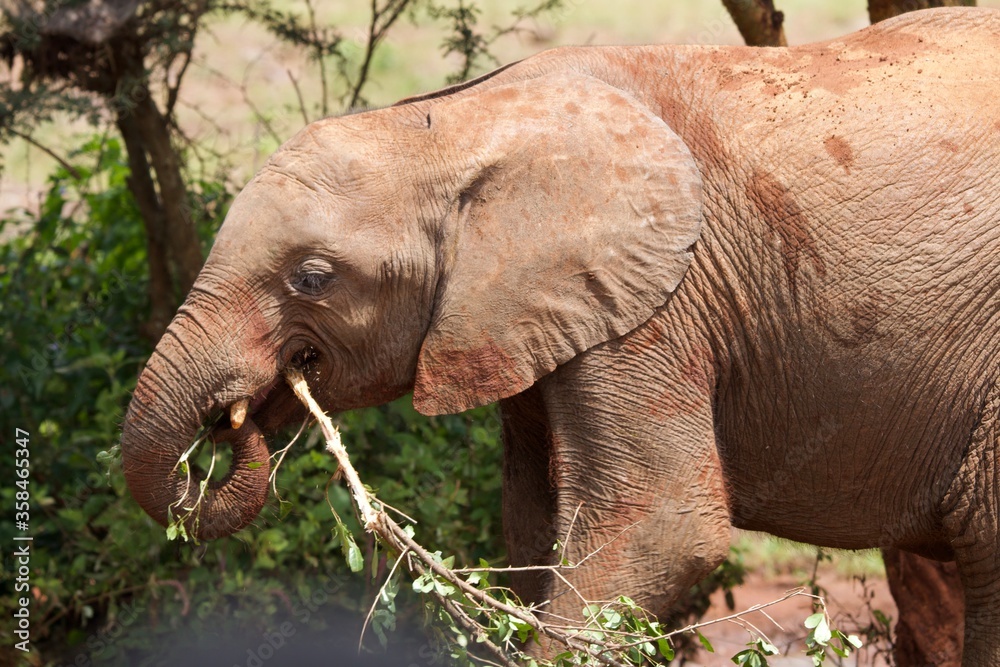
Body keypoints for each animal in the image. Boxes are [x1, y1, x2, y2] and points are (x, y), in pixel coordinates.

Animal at [120, 7, 1000, 664]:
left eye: (311, 276)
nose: (231, 425)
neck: (455, 122)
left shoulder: (656, 302)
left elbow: (661, 527)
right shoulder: (522, 312)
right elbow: (533, 528)